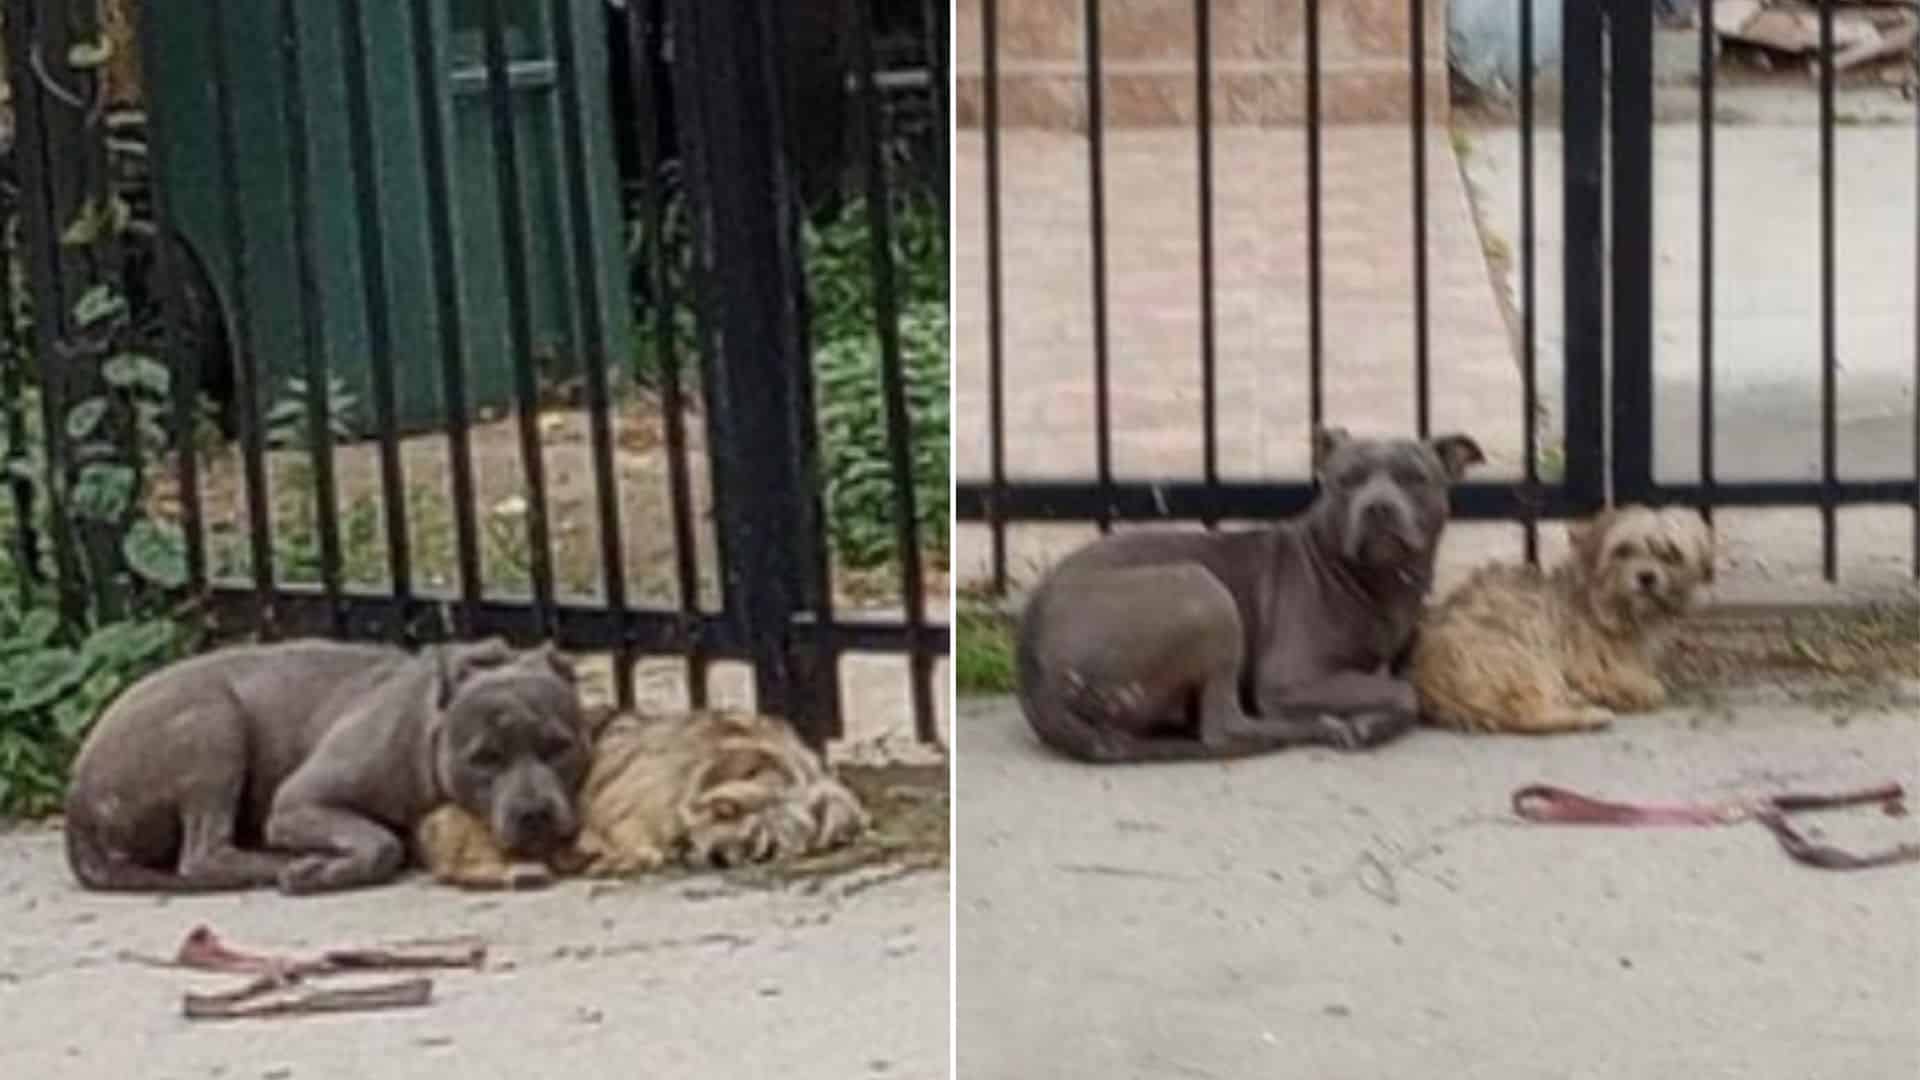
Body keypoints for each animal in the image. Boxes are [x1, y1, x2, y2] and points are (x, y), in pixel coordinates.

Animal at [63, 630, 587, 891]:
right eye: (484, 758)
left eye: (559, 747)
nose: (534, 813)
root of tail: (77, 798)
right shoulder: (298, 802)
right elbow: (380, 843)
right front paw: (329, 870)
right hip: (212, 724)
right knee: (203, 854)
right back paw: (284, 864)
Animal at [1021, 424, 1482, 760]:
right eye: (1346, 480)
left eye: (1414, 478)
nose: (1378, 507)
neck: (1371, 577)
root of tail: (1036, 675)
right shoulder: (1291, 679)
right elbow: (1406, 693)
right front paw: (1370, 720)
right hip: (1203, 591)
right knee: (1224, 729)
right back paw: (1319, 727)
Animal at [1413, 503, 1712, 730]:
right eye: (1624, 550)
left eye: (1671, 554)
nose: (1646, 577)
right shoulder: (1591, 663)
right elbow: (1650, 688)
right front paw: (1631, 691)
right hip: (1519, 654)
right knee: (1525, 711)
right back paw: (1589, 715)